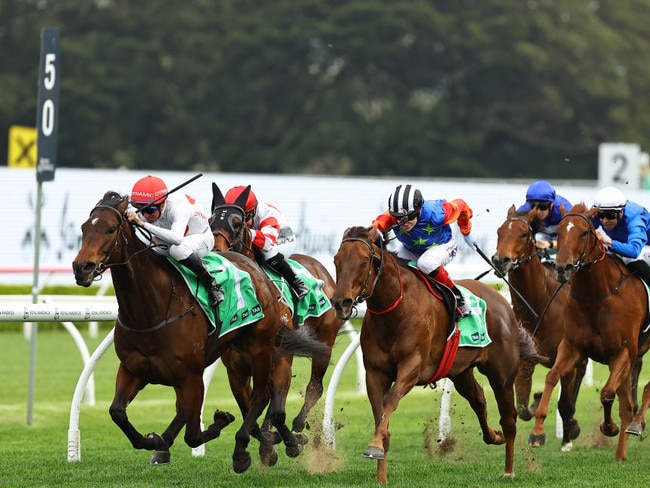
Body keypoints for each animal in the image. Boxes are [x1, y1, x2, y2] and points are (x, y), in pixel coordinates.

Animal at [71, 192, 324, 472]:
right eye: (84, 228)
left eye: (110, 229)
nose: (81, 267)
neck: (152, 310)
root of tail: (257, 270)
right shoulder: (132, 369)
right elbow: (118, 413)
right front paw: (153, 440)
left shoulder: (191, 376)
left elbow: (193, 434)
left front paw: (223, 423)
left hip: (261, 347)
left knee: (260, 397)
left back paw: (246, 448)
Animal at [209, 182, 342, 442]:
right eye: (210, 221)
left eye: (237, 223)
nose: (218, 252)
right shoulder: (236, 370)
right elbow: (251, 410)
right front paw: (269, 438)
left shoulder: (280, 359)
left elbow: (276, 410)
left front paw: (289, 439)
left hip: (324, 343)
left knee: (314, 388)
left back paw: (299, 424)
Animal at [330, 226, 540, 484]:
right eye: (336, 261)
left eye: (362, 262)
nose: (340, 303)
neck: (395, 308)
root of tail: (501, 300)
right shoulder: (375, 373)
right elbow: (381, 415)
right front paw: (381, 474)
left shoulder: (412, 366)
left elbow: (391, 399)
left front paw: (374, 446)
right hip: (460, 372)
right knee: (479, 399)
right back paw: (494, 435)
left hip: (501, 374)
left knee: (509, 419)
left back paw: (509, 469)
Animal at [488, 206, 584, 450]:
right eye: (499, 231)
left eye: (523, 234)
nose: (500, 260)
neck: (539, 306)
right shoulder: (525, 360)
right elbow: (522, 408)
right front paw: (536, 402)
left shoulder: (567, 357)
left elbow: (565, 403)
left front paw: (566, 438)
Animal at [528, 203, 648, 462]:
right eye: (558, 232)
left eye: (584, 233)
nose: (562, 268)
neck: (598, 298)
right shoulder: (572, 347)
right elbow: (552, 376)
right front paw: (537, 432)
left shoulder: (623, 352)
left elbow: (607, 393)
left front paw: (609, 427)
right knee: (628, 404)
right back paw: (621, 453)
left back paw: (636, 425)